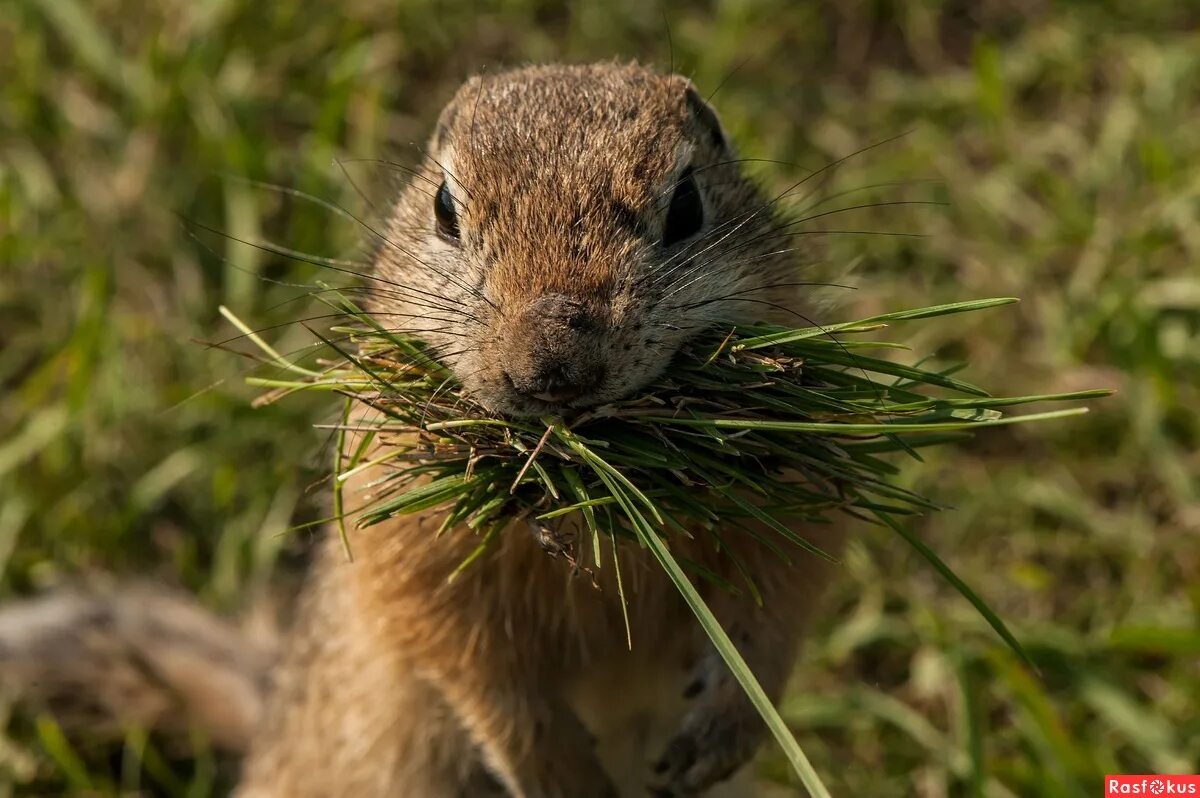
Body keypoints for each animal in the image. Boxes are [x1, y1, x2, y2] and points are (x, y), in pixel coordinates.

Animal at [2, 63, 844, 796]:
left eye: (687, 206)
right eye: (444, 207)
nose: (553, 366)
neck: (578, 508)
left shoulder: (798, 489)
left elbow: (780, 610)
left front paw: (720, 735)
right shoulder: (406, 543)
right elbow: (482, 678)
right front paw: (562, 778)